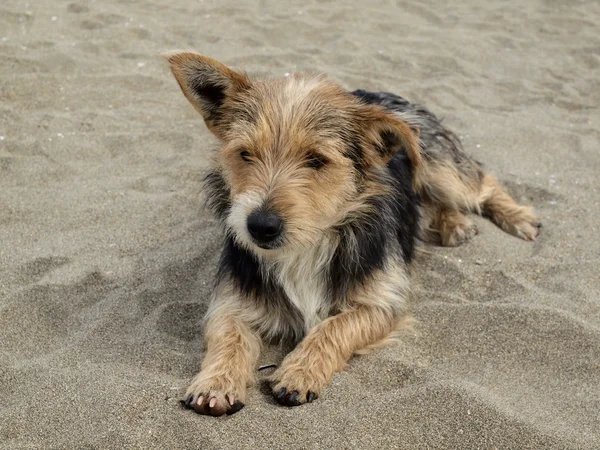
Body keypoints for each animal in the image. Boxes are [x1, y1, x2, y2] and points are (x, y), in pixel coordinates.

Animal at [163, 51, 540, 416]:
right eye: (245, 154)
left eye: (316, 160)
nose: (260, 225)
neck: (309, 245)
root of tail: (384, 94)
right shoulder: (231, 300)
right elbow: (228, 337)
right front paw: (216, 382)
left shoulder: (383, 299)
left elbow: (333, 326)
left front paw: (299, 371)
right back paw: (453, 223)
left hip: (442, 170)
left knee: (482, 181)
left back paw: (518, 217)